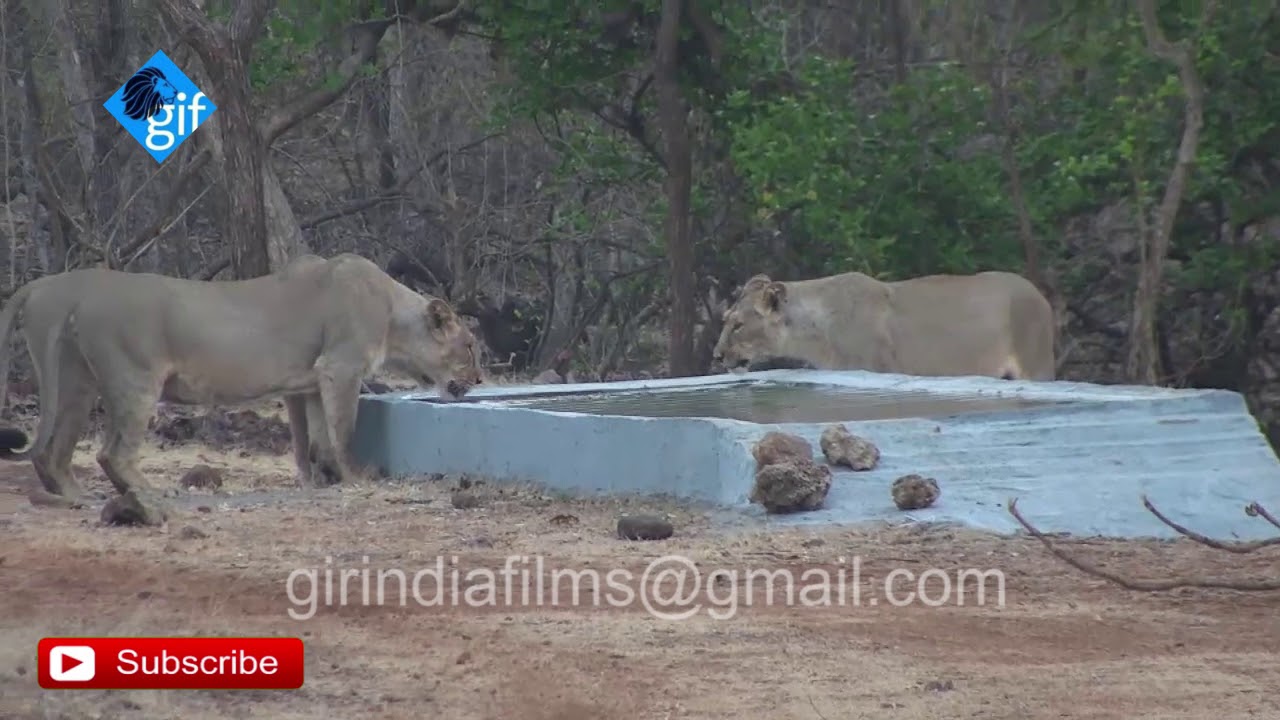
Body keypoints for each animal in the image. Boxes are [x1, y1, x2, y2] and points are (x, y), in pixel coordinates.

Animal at [0, 253, 483, 525]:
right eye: (470, 346)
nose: (480, 380)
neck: (392, 314)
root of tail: (46, 289)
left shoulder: (305, 383)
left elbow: (310, 440)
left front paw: (318, 480)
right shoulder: (339, 368)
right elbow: (342, 432)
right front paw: (354, 477)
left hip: (75, 381)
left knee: (53, 451)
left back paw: (76, 498)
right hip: (135, 381)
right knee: (111, 452)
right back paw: (154, 495)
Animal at [712, 270, 1055, 381]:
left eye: (739, 325)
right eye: (725, 320)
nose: (716, 356)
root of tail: (1040, 295)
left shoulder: (879, 369)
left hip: (1037, 368)